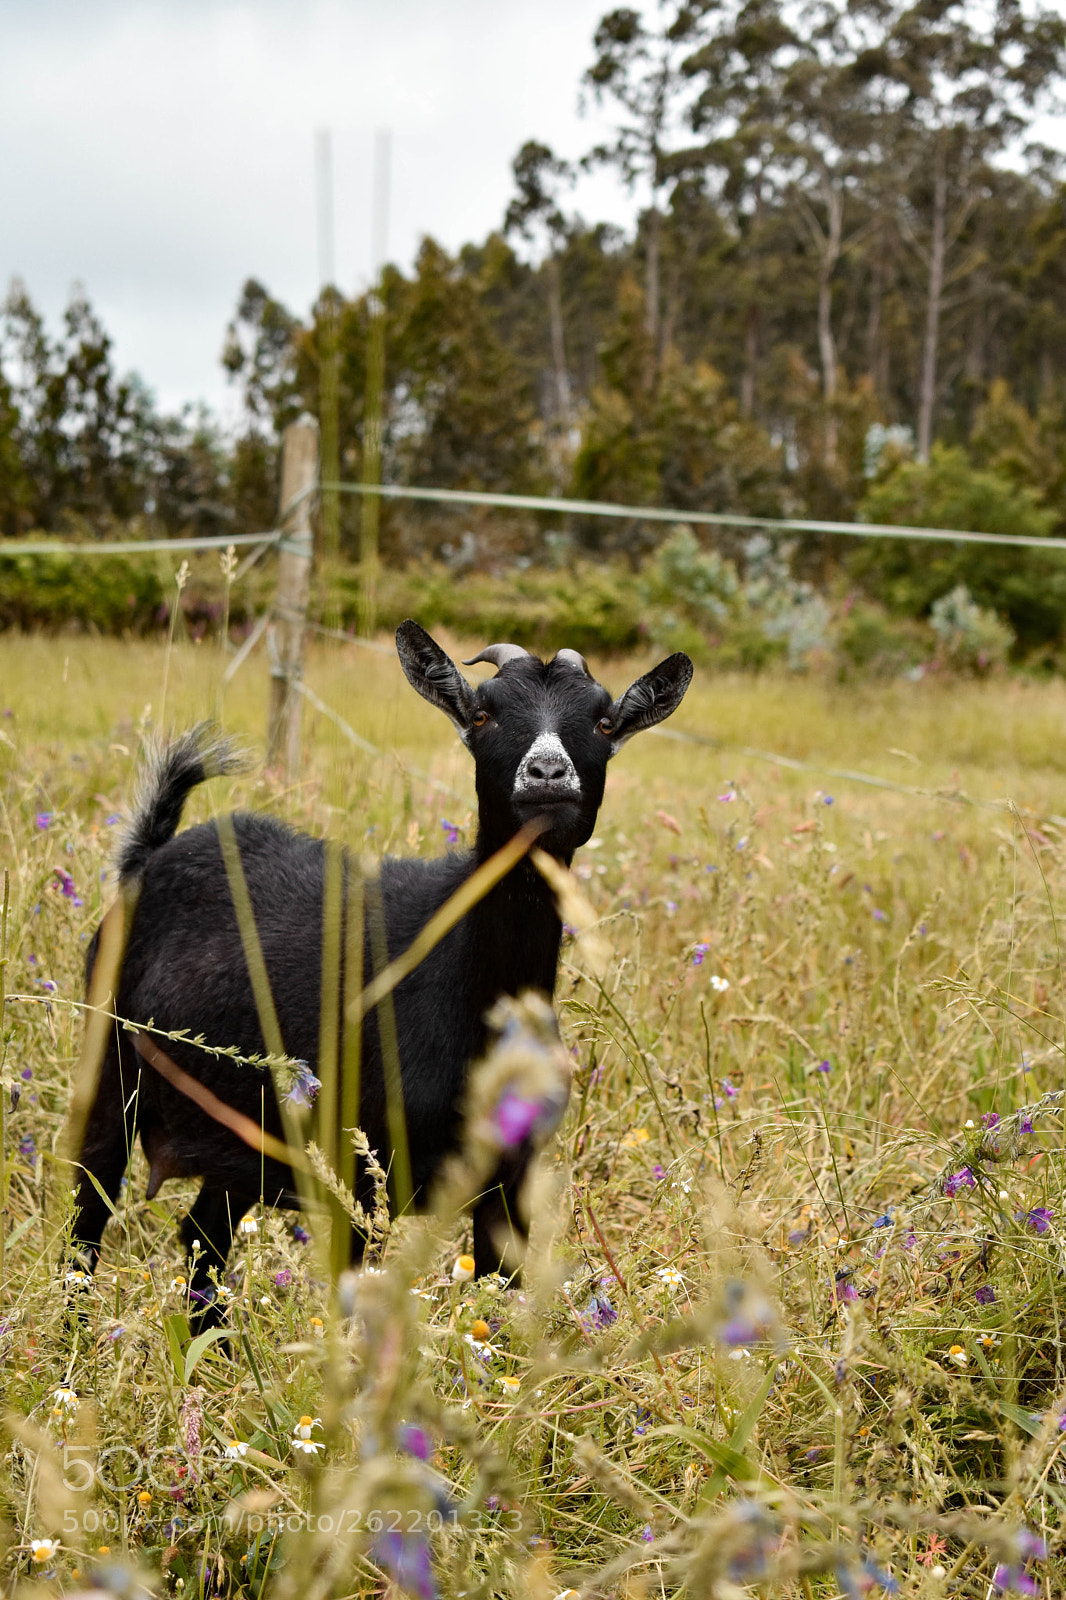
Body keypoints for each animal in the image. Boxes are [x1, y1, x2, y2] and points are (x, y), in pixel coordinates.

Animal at [70, 622, 692, 1316]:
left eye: (604, 722)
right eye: (483, 714)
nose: (548, 773)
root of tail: (149, 856)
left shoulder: (510, 1179)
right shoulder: (358, 1168)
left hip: (239, 1136)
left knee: (204, 1234)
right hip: (111, 1062)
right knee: (90, 1209)